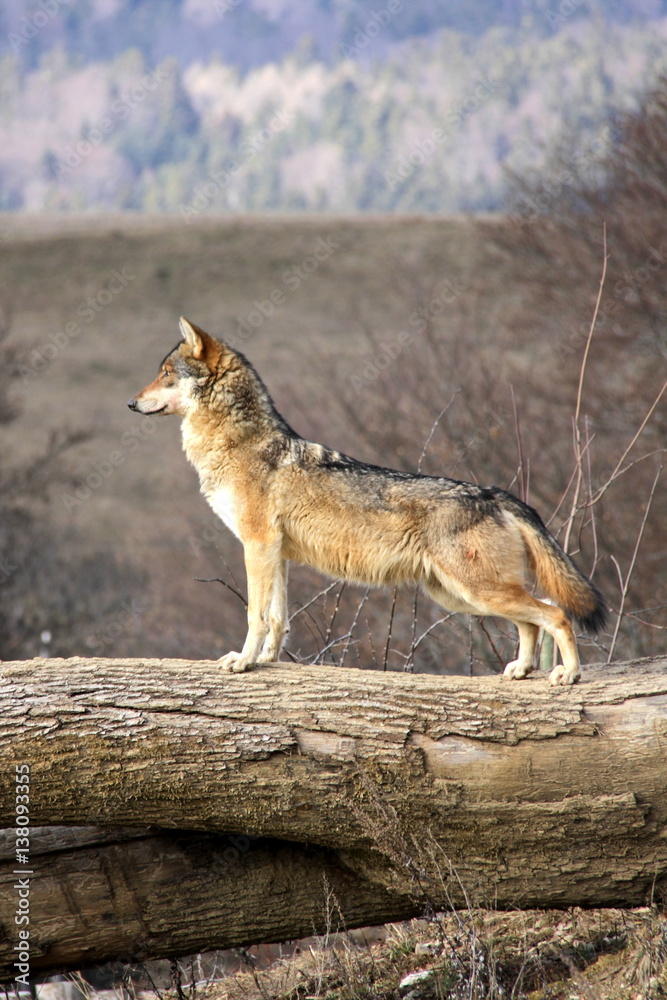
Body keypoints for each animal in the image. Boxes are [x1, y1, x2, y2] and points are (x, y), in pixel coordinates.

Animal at [128, 318, 606, 684]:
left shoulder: (258, 546)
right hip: (463, 596)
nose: (131, 403)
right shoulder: (275, 553)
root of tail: (496, 494)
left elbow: (255, 615)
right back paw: (521, 669)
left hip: (476, 592)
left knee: (556, 614)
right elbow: (278, 617)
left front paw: (244, 661)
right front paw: (267, 661)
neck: (238, 444)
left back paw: (569, 674)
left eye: (166, 373)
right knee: (531, 621)